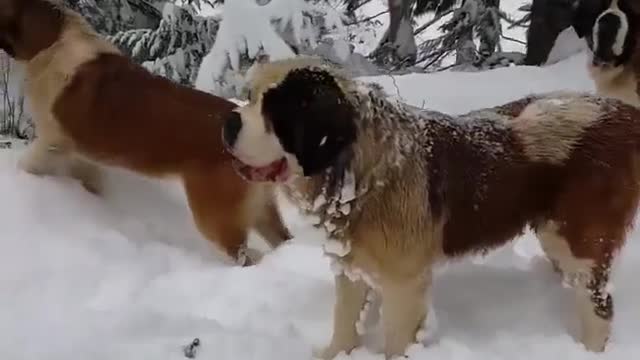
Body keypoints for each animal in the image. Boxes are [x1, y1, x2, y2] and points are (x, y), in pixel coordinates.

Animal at [0, 0, 292, 264]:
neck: (53, 41)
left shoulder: (52, 142)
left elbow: (28, 164)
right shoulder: (83, 158)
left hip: (215, 216)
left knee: (243, 255)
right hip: (263, 210)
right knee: (282, 240)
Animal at [222, 56, 640, 358]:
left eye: (276, 111)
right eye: (249, 95)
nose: (227, 121)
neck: (362, 167)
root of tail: (622, 113)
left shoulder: (404, 285)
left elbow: (394, 340)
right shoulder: (350, 268)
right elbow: (345, 321)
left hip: (576, 239)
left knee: (599, 307)